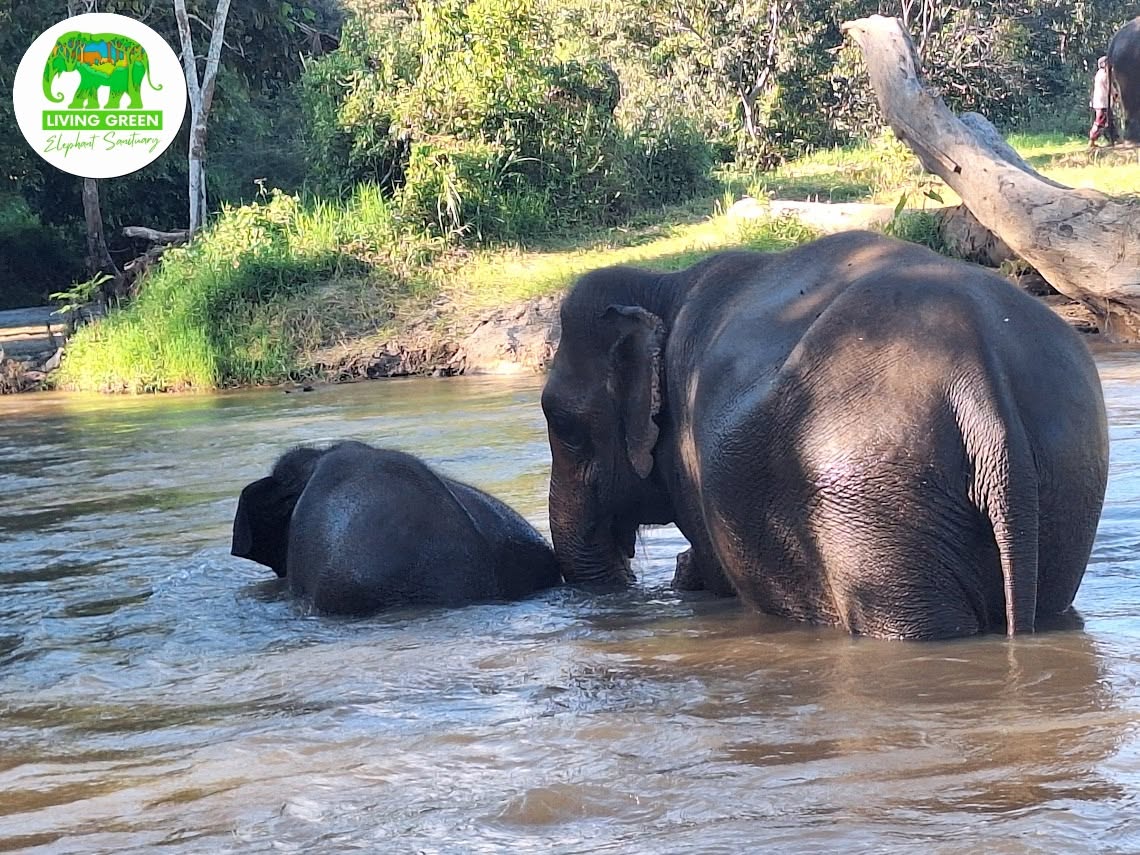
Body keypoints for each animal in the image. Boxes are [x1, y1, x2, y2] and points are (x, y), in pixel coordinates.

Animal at [541, 230, 1108, 640]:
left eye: (564, 427)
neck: (663, 284)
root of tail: (977, 374)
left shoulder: (690, 468)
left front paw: (689, 576)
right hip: (1065, 478)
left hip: (873, 502)